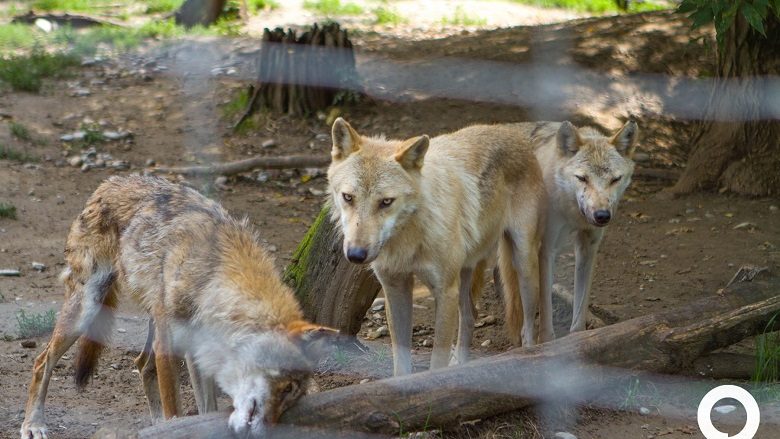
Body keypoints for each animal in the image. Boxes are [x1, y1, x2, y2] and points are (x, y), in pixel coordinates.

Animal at [20, 176, 336, 439]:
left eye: (292, 394)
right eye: (285, 386)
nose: (268, 431)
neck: (213, 279)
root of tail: (109, 183)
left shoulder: (199, 353)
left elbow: (205, 410)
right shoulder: (171, 347)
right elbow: (176, 409)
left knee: (142, 365)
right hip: (87, 309)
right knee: (42, 360)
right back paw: (33, 425)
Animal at [326, 118, 544, 376]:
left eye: (386, 202)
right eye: (348, 197)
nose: (356, 255)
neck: (408, 240)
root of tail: (511, 131)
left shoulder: (445, 291)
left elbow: (437, 361)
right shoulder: (395, 288)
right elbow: (401, 362)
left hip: (523, 265)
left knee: (529, 329)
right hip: (465, 273)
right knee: (470, 315)